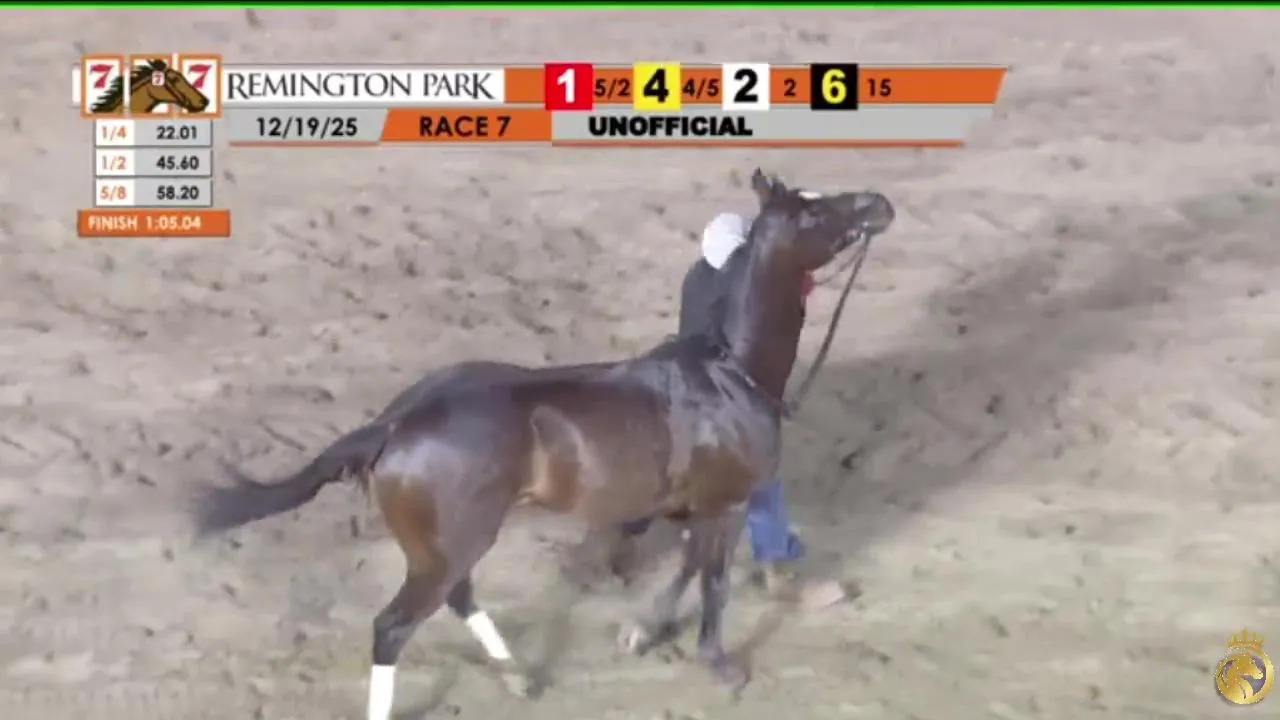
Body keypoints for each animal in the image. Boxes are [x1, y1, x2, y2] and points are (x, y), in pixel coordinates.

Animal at [193, 170, 895, 720]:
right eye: (812, 211)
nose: (878, 204)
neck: (728, 371)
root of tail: (394, 424)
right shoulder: (722, 505)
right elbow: (713, 579)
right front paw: (717, 663)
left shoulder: (692, 506)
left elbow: (689, 568)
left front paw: (643, 631)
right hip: (454, 544)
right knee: (393, 628)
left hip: (445, 548)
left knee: (457, 599)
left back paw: (517, 678)